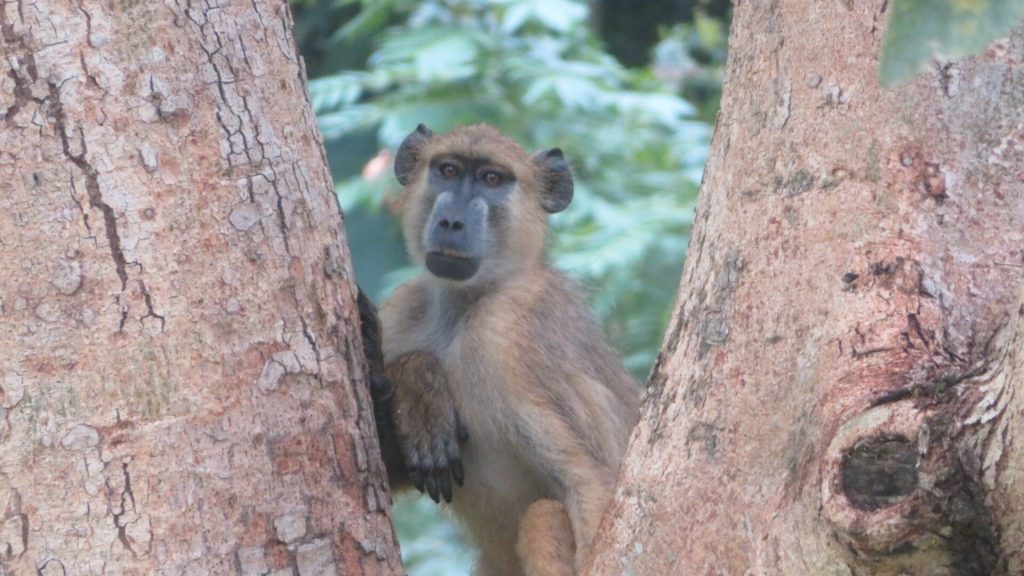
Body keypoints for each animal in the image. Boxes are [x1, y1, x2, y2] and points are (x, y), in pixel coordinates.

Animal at [359, 124, 641, 576]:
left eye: (492, 179)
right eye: (449, 171)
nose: (452, 221)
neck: (465, 304)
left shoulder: (504, 338)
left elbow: (587, 479)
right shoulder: (404, 313)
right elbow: (379, 470)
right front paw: (417, 385)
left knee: (543, 516)